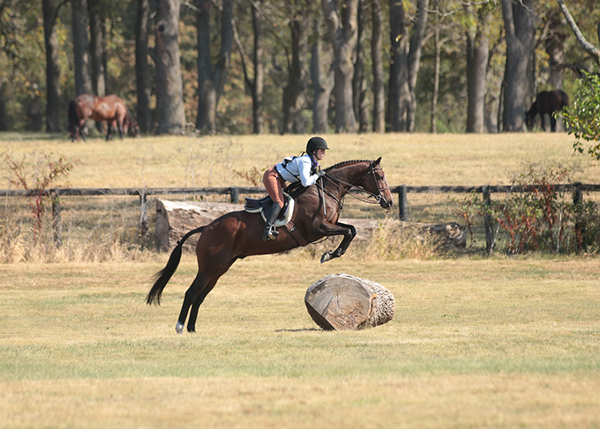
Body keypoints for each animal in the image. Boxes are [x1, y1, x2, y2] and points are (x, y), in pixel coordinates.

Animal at [145, 159, 394, 332]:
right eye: (379, 176)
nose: (389, 202)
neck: (327, 190)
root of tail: (206, 227)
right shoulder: (317, 228)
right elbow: (350, 231)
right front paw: (331, 254)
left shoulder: (329, 225)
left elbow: (351, 229)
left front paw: (332, 253)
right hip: (209, 267)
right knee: (191, 293)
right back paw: (180, 328)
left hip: (219, 268)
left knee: (201, 295)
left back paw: (192, 329)